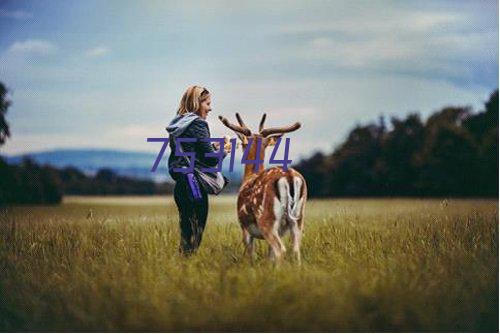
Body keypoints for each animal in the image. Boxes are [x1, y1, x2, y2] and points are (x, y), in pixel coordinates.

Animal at [220, 113, 308, 264]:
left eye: (243, 144)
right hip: (298, 219)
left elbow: (250, 253)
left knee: (280, 250)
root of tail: (289, 177)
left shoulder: (244, 227)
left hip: (266, 218)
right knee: (296, 250)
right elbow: (269, 255)